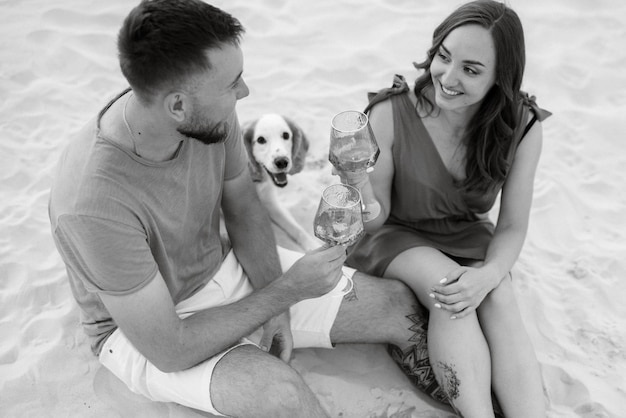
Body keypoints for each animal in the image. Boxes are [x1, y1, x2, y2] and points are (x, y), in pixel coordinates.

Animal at [241, 113, 320, 251]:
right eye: (260, 140)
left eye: (286, 135)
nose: (282, 162)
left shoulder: (272, 204)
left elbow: (297, 229)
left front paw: (313, 246)